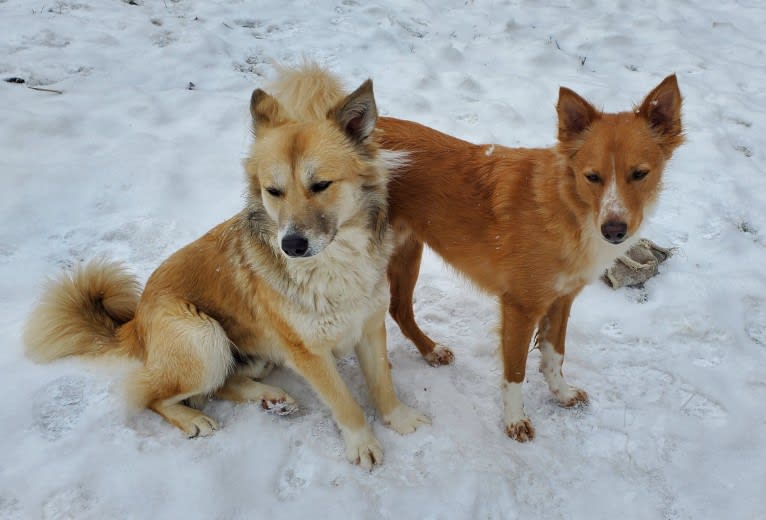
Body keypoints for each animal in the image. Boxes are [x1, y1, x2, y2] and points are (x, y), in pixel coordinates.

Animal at [24, 65, 428, 468]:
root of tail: (135, 322)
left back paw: (269, 397)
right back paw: (194, 419)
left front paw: (399, 418)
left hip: (248, 353)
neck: (336, 263)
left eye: (321, 185)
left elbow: (382, 382)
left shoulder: (370, 327)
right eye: (273, 191)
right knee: (151, 393)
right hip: (204, 337)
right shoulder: (307, 353)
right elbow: (345, 402)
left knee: (222, 383)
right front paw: (362, 442)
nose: (291, 245)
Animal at [380, 74, 688, 438]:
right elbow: (515, 372)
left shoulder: (562, 299)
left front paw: (562, 394)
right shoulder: (520, 307)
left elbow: (555, 355)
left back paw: (431, 351)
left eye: (639, 174)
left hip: (407, 250)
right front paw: (515, 420)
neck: (568, 210)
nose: (614, 231)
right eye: (592, 177)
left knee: (399, 309)